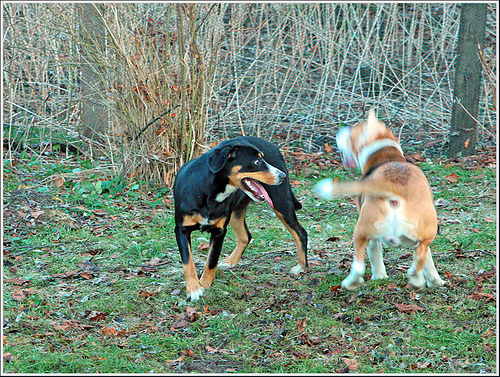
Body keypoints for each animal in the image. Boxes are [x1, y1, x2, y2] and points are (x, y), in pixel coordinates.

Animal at [175, 135, 308, 300]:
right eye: (257, 162)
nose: (282, 176)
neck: (209, 194)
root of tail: (274, 147)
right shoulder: (181, 230)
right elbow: (188, 263)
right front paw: (194, 289)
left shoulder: (219, 231)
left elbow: (211, 262)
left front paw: (204, 286)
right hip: (236, 212)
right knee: (246, 236)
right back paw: (231, 261)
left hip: (280, 202)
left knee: (300, 233)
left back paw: (301, 267)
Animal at [316, 108, 446, 290]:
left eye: (351, 136)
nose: (341, 130)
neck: (386, 153)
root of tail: (395, 190)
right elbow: (428, 260)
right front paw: (435, 281)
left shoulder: (372, 239)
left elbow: (374, 255)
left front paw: (380, 276)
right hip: (427, 231)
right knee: (421, 254)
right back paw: (416, 279)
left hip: (362, 230)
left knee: (358, 263)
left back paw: (351, 282)